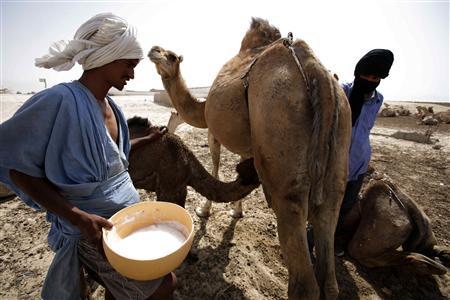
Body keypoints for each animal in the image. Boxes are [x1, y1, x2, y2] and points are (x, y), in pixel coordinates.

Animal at [149, 17, 350, 300]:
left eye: (171, 55)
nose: (154, 49)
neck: (201, 107)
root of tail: (317, 72)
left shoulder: (213, 130)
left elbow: (215, 162)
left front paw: (205, 210)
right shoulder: (251, 145)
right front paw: (237, 211)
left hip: (278, 122)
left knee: (304, 279)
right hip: (340, 138)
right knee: (329, 242)